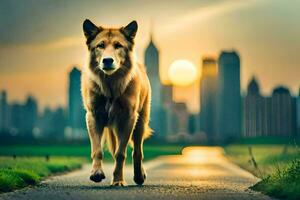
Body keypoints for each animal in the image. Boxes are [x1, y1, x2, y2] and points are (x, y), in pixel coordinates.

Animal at [81, 19, 151, 186]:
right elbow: (97, 150)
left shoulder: (128, 119)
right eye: (100, 46)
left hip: (140, 122)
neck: (110, 85)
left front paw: (118, 180)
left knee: (137, 150)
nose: (107, 60)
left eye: (118, 45)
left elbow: (121, 153)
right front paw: (96, 173)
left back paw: (139, 175)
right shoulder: (93, 116)